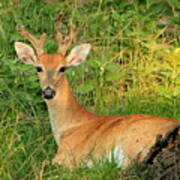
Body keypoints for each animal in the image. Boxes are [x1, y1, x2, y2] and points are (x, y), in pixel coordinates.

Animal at [14, 25, 180, 169]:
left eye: (62, 68)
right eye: (38, 68)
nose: (48, 92)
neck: (68, 127)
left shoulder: (67, 154)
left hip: (133, 142)